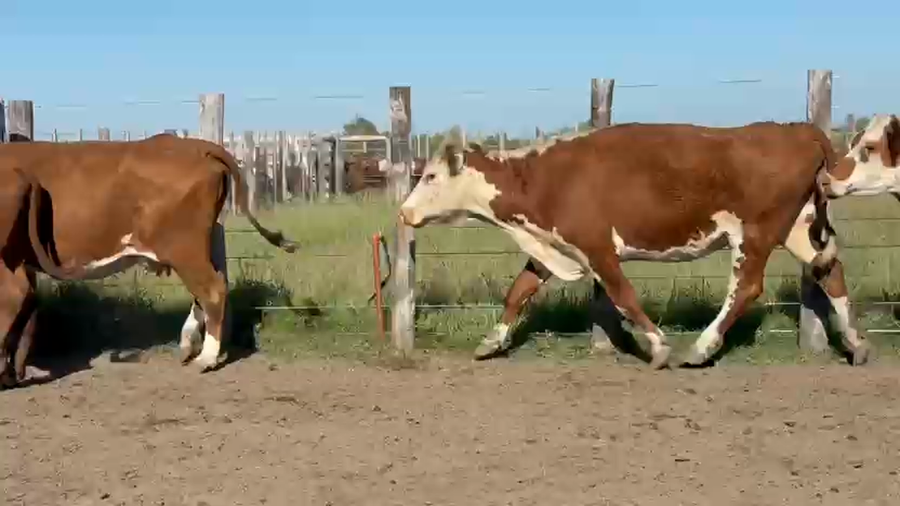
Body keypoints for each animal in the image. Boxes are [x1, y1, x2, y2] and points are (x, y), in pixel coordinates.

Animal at [0, 133, 299, 388]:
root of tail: (193, 145)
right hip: (202, 245)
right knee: (210, 288)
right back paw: (189, 344)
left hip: (184, 248)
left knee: (213, 289)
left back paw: (206, 358)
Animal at [397, 122, 872, 369]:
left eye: (432, 176)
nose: (403, 212)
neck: (545, 177)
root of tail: (797, 129)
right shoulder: (553, 246)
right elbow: (520, 291)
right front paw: (491, 342)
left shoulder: (596, 247)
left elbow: (623, 294)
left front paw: (659, 346)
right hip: (800, 229)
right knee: (830, 272)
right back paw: (857, 344)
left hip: (755, 234)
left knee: (746, 288)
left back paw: (700, 348)